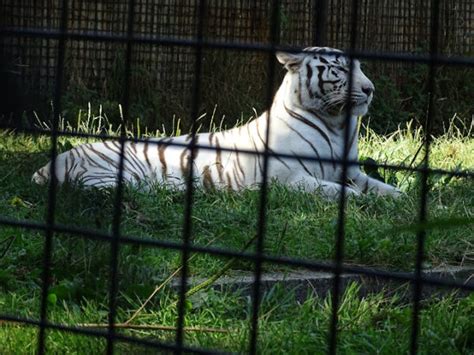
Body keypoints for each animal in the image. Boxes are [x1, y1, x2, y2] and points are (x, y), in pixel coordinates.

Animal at [32, 46, 400, 199]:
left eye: (360, 66)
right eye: (339, 69)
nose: (370, 89)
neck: (337, 125)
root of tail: (51, 162)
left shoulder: (352, 172)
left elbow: (384, 189)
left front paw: (405, 201)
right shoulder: (287, 177)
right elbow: (334, 191)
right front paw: (358, 201)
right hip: (115, 171)